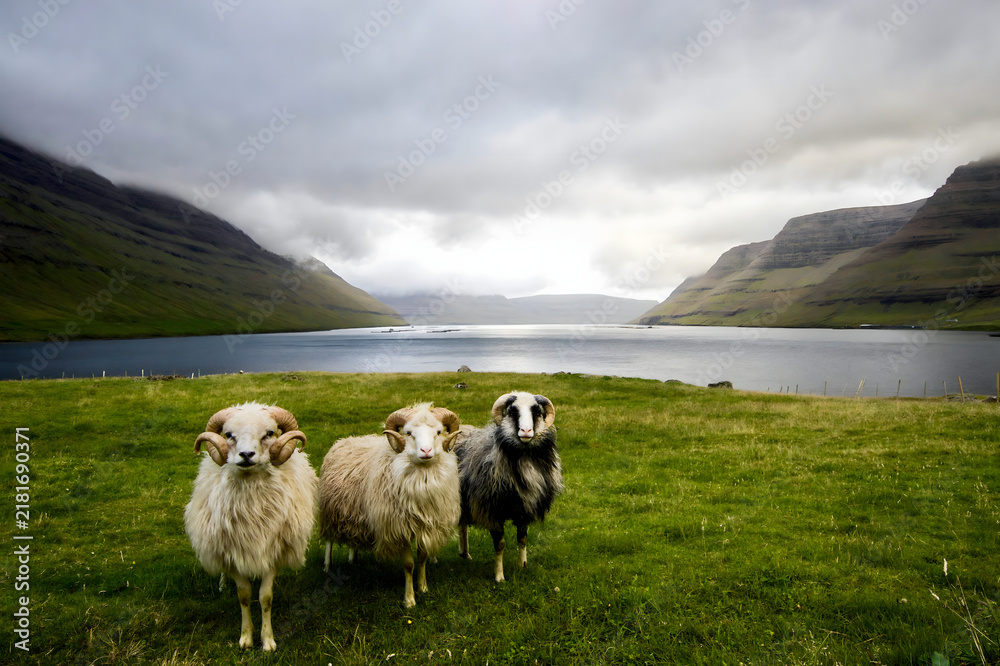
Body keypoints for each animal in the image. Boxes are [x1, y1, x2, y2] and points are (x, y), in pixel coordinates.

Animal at [183, 402, 317, 652]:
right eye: (228, 435)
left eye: (269, 433)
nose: (246, 455)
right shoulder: (232, 552)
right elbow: (244, 596)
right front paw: (246, 638)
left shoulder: (273, 551)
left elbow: (265, 597)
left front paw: (268, 641)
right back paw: (222, 583)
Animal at [318, 403, 461, 608]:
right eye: (408, 433)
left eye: (438, 432)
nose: (426, 451)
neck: (422, 480)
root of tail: (345, 440)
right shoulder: (398, 528)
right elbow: (409, 565)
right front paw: (409, 600)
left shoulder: (425, 525)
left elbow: (423, 558)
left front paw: (423, 587)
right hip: (331, 510)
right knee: (329, 541)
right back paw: (327, 566)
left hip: (354, 513)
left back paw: (353, 559)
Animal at [454, 392, 562, 582]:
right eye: (512, 411)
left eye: (537, 412)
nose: (526, 431)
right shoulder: (492, 511)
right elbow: (500, 544)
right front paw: (499, 576)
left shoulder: (524, 508)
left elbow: (523, 538)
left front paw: (523, 565)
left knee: (463, 524)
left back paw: (465, 554)